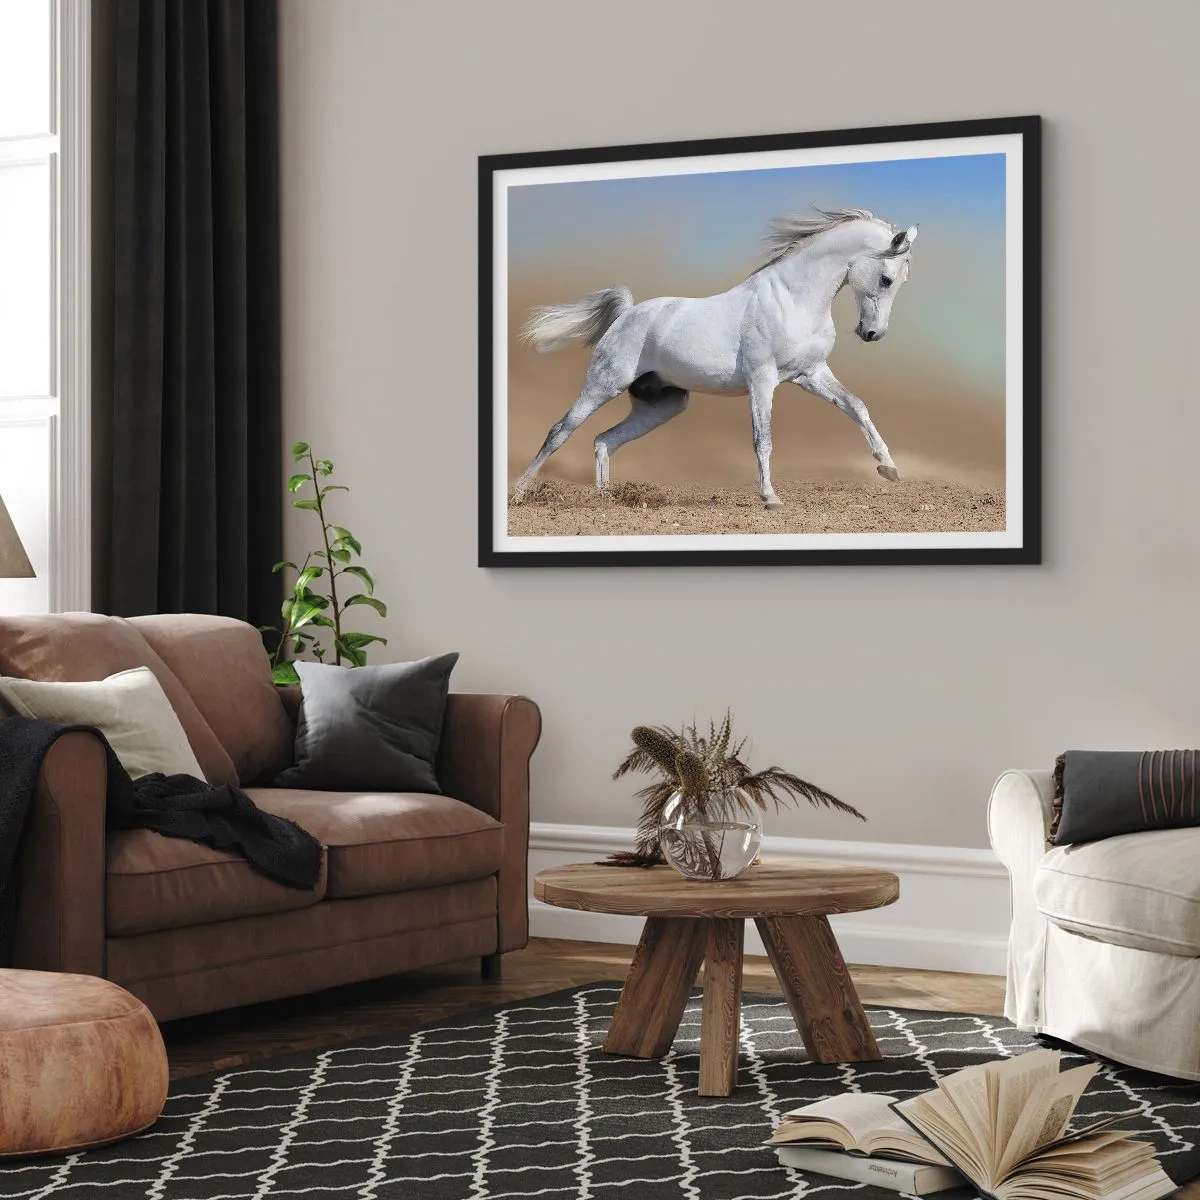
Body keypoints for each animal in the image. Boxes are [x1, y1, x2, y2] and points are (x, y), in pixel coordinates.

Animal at [512, 208, 918, 510]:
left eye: (901, 282)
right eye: (886, 279)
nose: (872, 333)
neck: (793, 299)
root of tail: (627, 314)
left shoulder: (811, 374)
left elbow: (857, 406)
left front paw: (889, 468)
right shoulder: (762, 379)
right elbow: (762, 438)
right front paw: (770, 498)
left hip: (663, 405)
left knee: (604, 440)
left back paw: (605, 499)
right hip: (604, 384)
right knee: (560, 430)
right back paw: (519, 492)